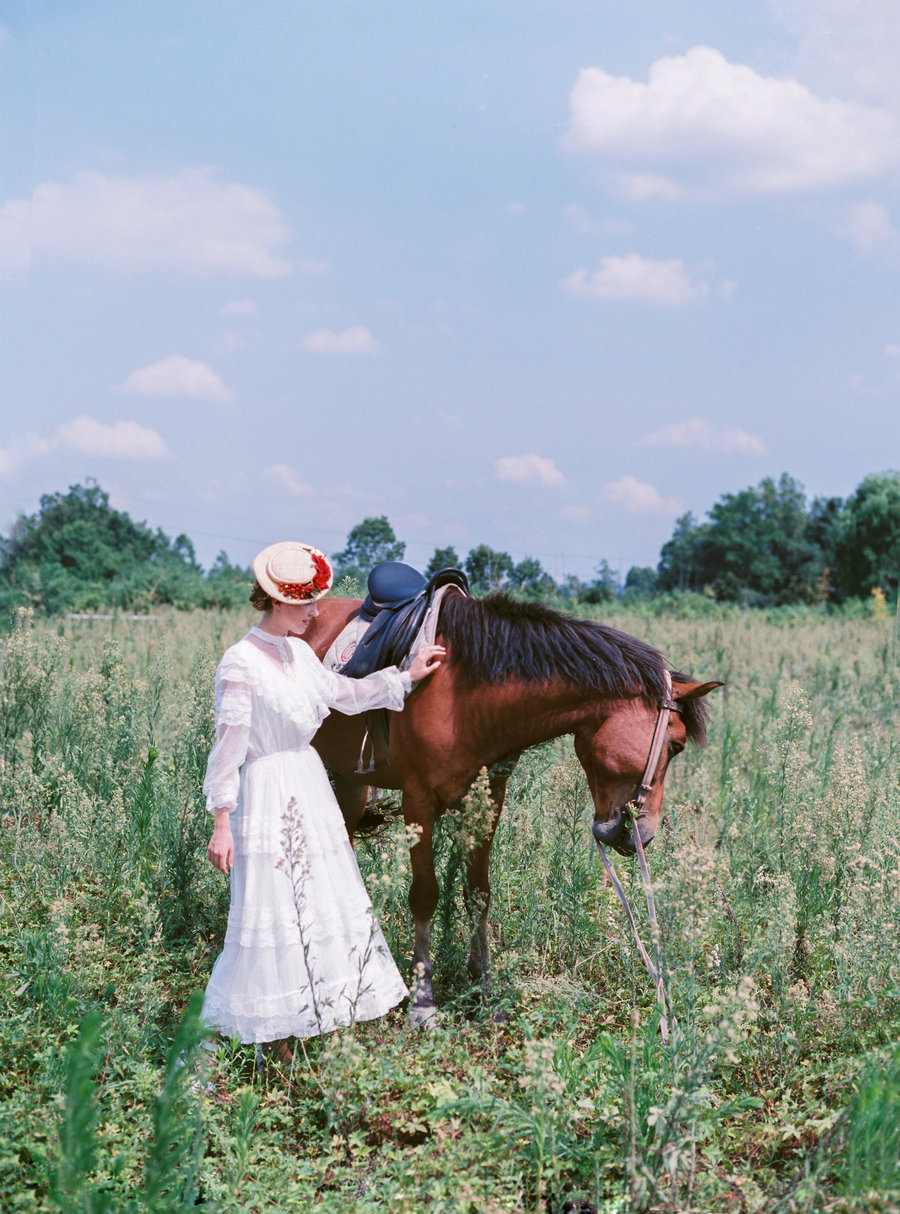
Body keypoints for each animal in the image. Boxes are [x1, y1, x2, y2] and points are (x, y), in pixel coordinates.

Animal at [304, 592, 719, 1019]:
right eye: (676, 744)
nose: (645, 834)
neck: (462, 693)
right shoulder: (416, 799)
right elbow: (425, 895)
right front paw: (422, 999)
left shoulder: (489, 798)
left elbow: (479, 893)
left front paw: (484, 987)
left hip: (350, 781)